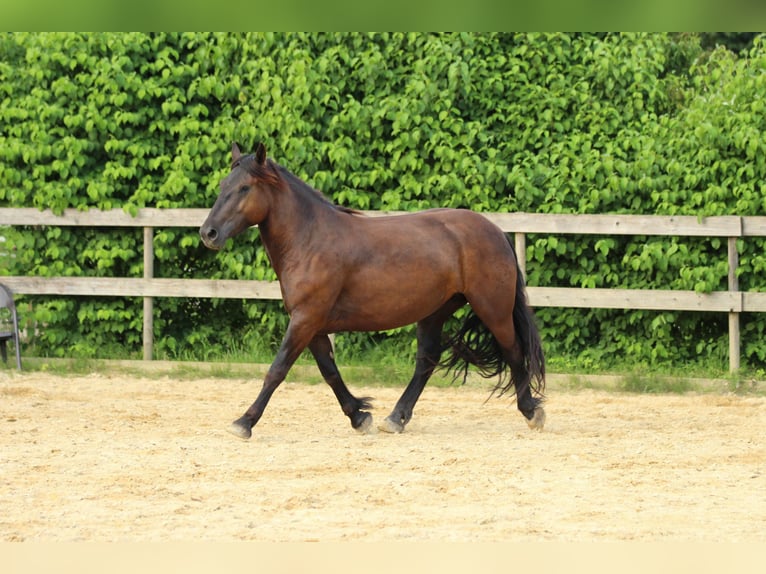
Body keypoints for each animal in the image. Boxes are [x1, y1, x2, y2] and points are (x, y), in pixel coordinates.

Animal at [200, 144, 544, 440]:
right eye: (223, 185)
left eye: (244, 188)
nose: (208, 233)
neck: (309, 239)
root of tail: (495, 231)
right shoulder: (312, 325)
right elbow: (330, 372)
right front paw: (359, 416)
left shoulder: (305, 319)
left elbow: (277, 370)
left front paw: (244, 422)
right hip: (435, 311)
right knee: (427, 360)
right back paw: (396, 418)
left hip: (492, 308)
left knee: (514, 351)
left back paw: (531, 412)